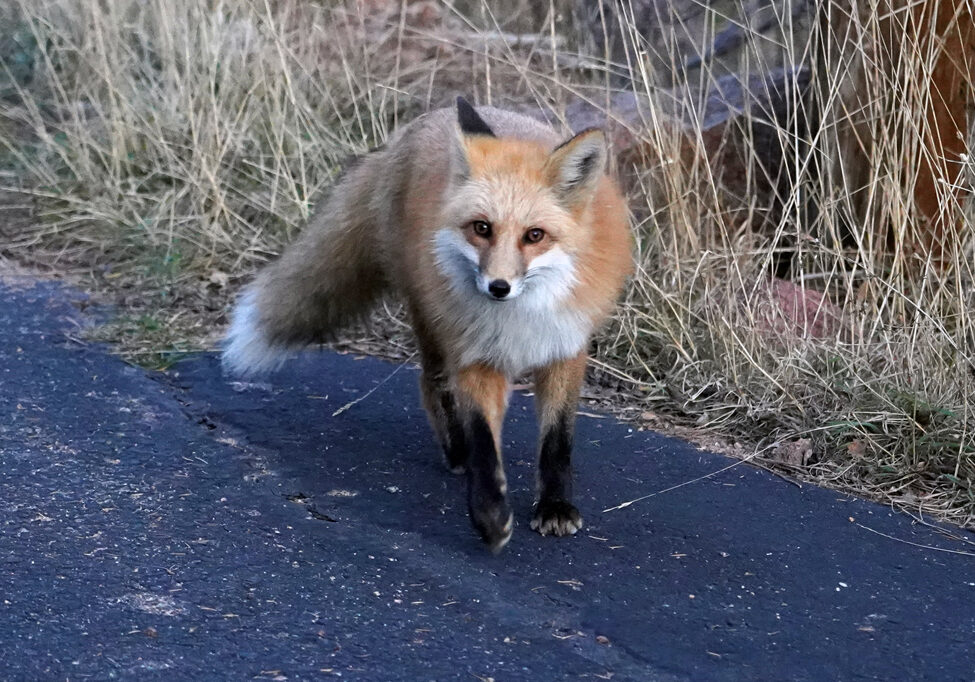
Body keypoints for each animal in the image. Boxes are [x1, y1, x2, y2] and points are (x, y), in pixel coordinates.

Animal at [223, 97, 633, 551]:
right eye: (481, 228)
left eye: (535, 235)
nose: (498, 287)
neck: (518, 316)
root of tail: (412, 128)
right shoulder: (475, 353)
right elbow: (484, 442)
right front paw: (489, 515)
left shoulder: (565, 348)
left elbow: (557, 440)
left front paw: (555, 505)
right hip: (431, 317)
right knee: (433, 383)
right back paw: (456, 451)